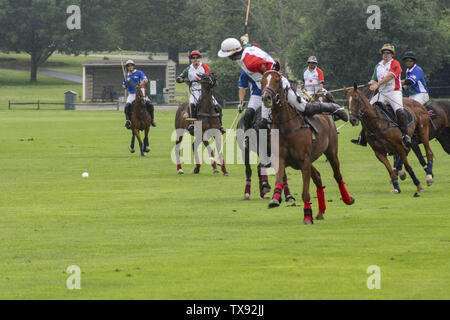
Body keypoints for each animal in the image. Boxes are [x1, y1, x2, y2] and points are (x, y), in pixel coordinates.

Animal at [260, 70, 356, 225]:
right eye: (262, 81)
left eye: (277, 80)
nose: (266, 98)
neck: (286, 127)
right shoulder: (280, 158)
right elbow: (279, 179)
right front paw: (275, 199)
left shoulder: (304, 161)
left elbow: (305, 193)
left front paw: (307, 217)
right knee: (318, 178)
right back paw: (320, 212)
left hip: (331, 152)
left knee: (337, 175)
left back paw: (348, 199)